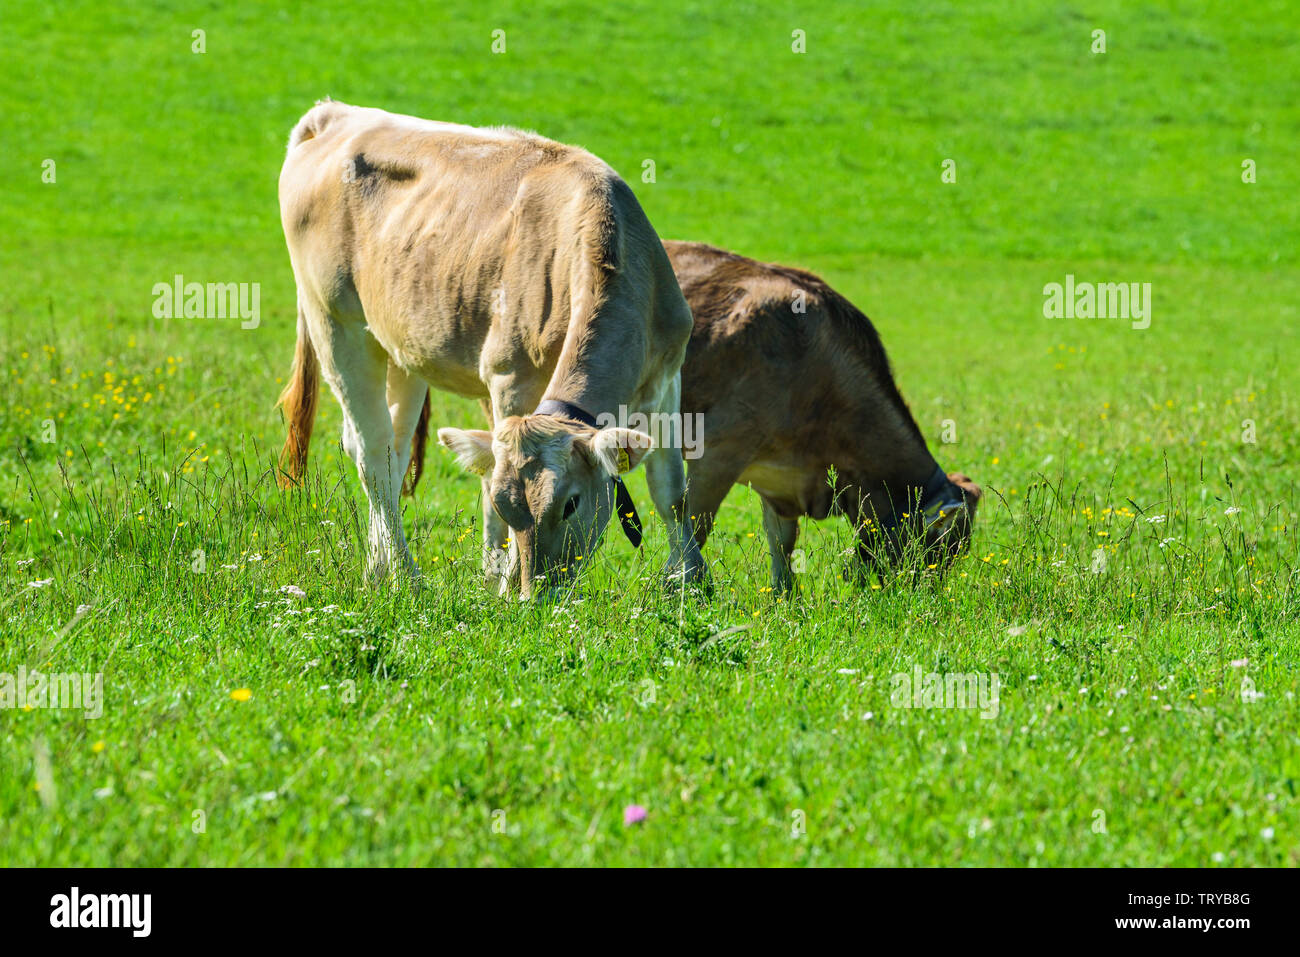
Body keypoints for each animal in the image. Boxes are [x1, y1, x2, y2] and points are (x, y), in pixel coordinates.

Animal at [276, 100, 704, 598]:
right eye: (509, 507)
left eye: (571, 504)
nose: (536, 596)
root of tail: (334, 114)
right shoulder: (510, 381)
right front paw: (502, 580)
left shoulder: (668, 376)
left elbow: (671, 490)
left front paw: (690, 580)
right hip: (334, 321)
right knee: (371, 452)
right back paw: (405, 574)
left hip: (402, 345)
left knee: (393, 451)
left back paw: (378, 569)